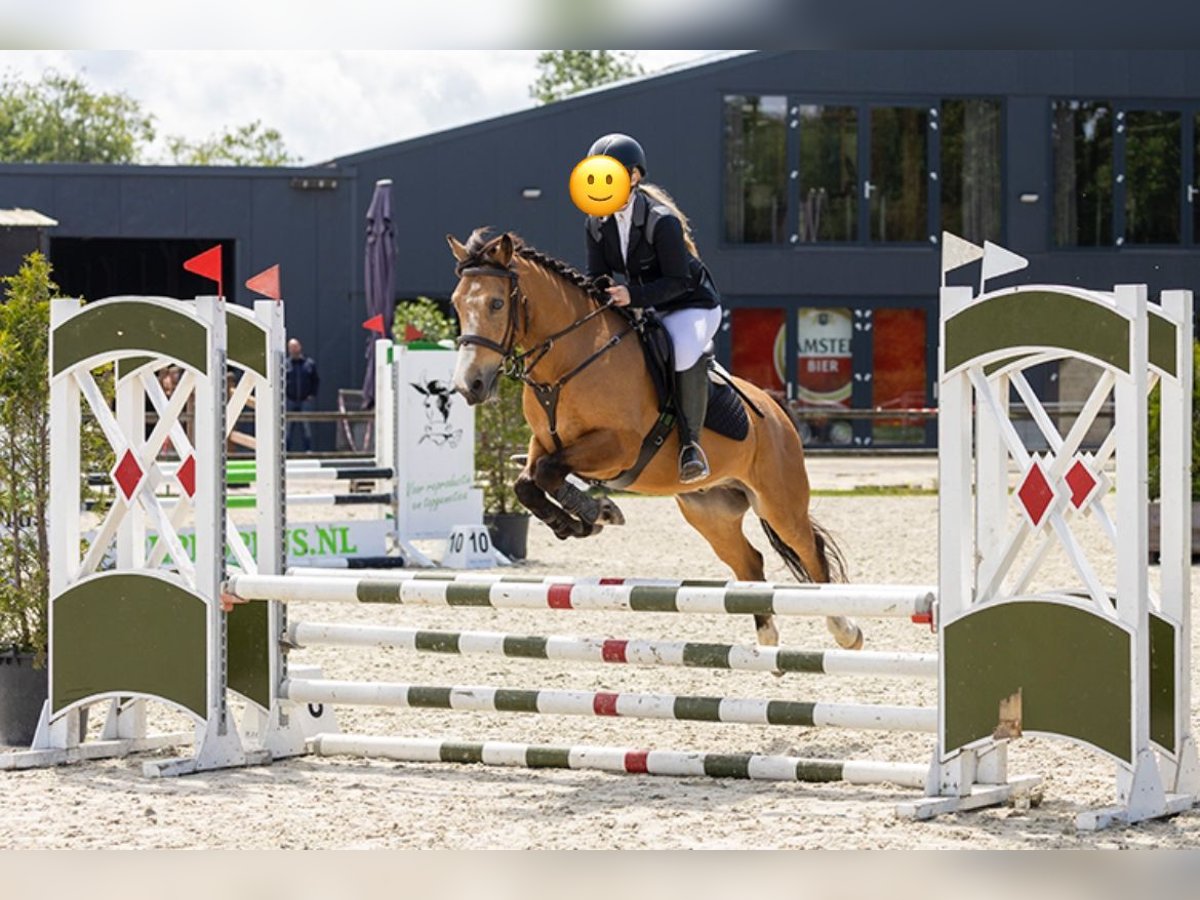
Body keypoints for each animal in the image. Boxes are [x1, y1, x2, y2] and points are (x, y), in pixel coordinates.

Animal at [446, 224, 859, 648]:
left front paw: (596, 513)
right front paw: (584, 518)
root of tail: (777, 410)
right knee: (750, 561)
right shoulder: (543, 443)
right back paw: (767, 639)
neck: (568, 362)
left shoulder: (617, 447)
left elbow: (547, 473)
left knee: (810, 552)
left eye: (496, 304)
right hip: (709, 510)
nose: (469, 385)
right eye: (457, 304)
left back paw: (845, 631)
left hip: (779, 502)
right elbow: (528, 484)